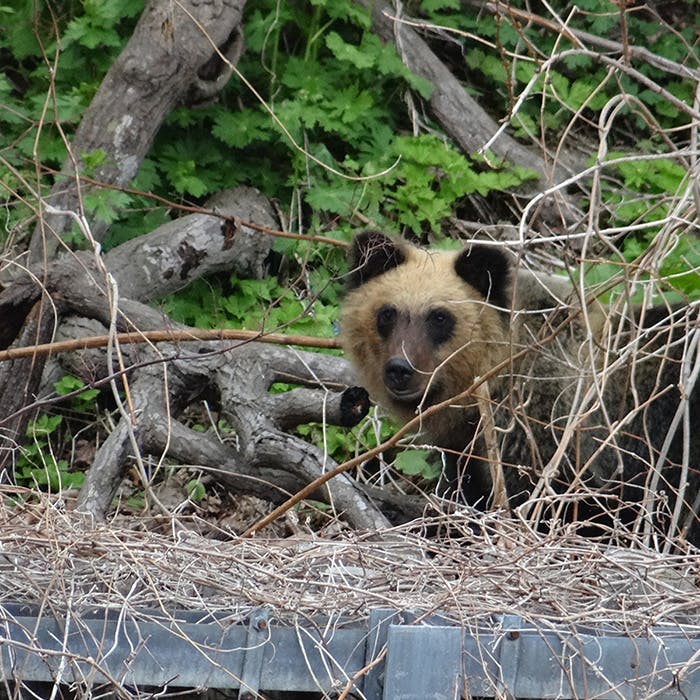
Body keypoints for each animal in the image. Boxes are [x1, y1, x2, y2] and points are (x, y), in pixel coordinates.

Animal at [340, 231, 700, 548]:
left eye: (439, 317)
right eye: (388, 313)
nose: (400, 369)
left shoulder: (539, 432)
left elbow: (538, 505)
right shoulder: (470, 451)